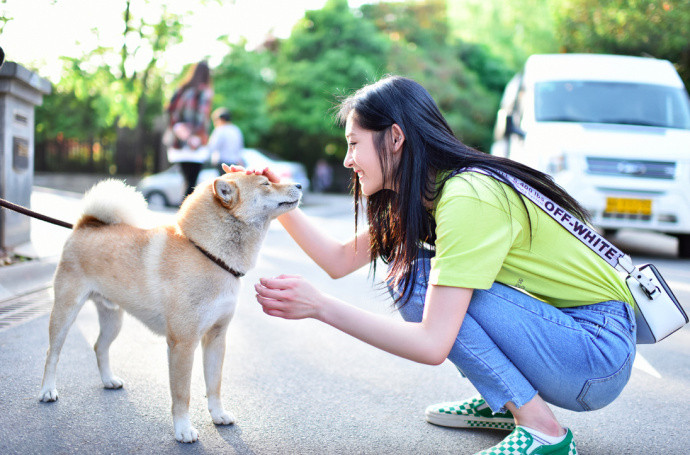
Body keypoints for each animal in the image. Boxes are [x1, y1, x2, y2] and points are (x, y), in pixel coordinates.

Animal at [38, 170, 300, 442]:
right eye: (266, 184)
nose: (300, 185)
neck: (207, 253)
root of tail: (84, 225)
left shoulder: (216, 338)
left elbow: (214, 385)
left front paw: (218, 415)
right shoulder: (182, 344)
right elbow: (182, 394)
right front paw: (183, 429)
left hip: (113, 320)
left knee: (100, 347)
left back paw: (109, 380)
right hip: (65, 313)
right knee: (52, 353)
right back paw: (47, 391)